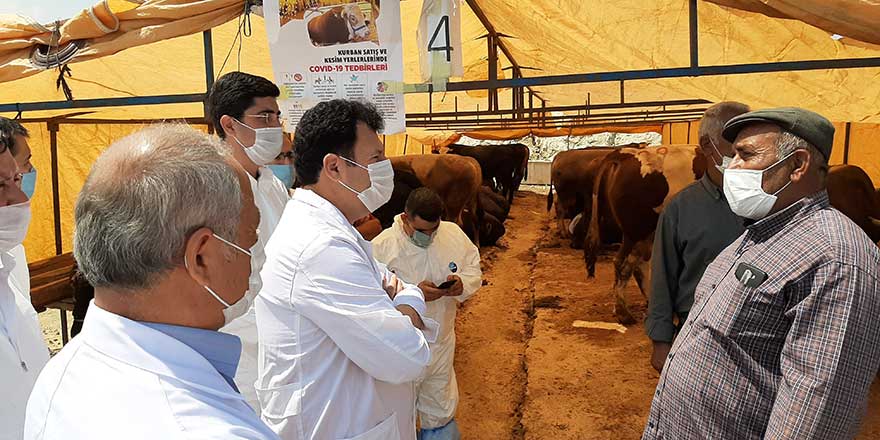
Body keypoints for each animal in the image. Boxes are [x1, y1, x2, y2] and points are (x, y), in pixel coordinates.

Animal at [584, 144, 708, 324]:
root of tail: (625, 153)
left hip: (644, 234)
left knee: (635, 264)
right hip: (638, 231)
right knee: (624, 263)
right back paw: (624, 313)